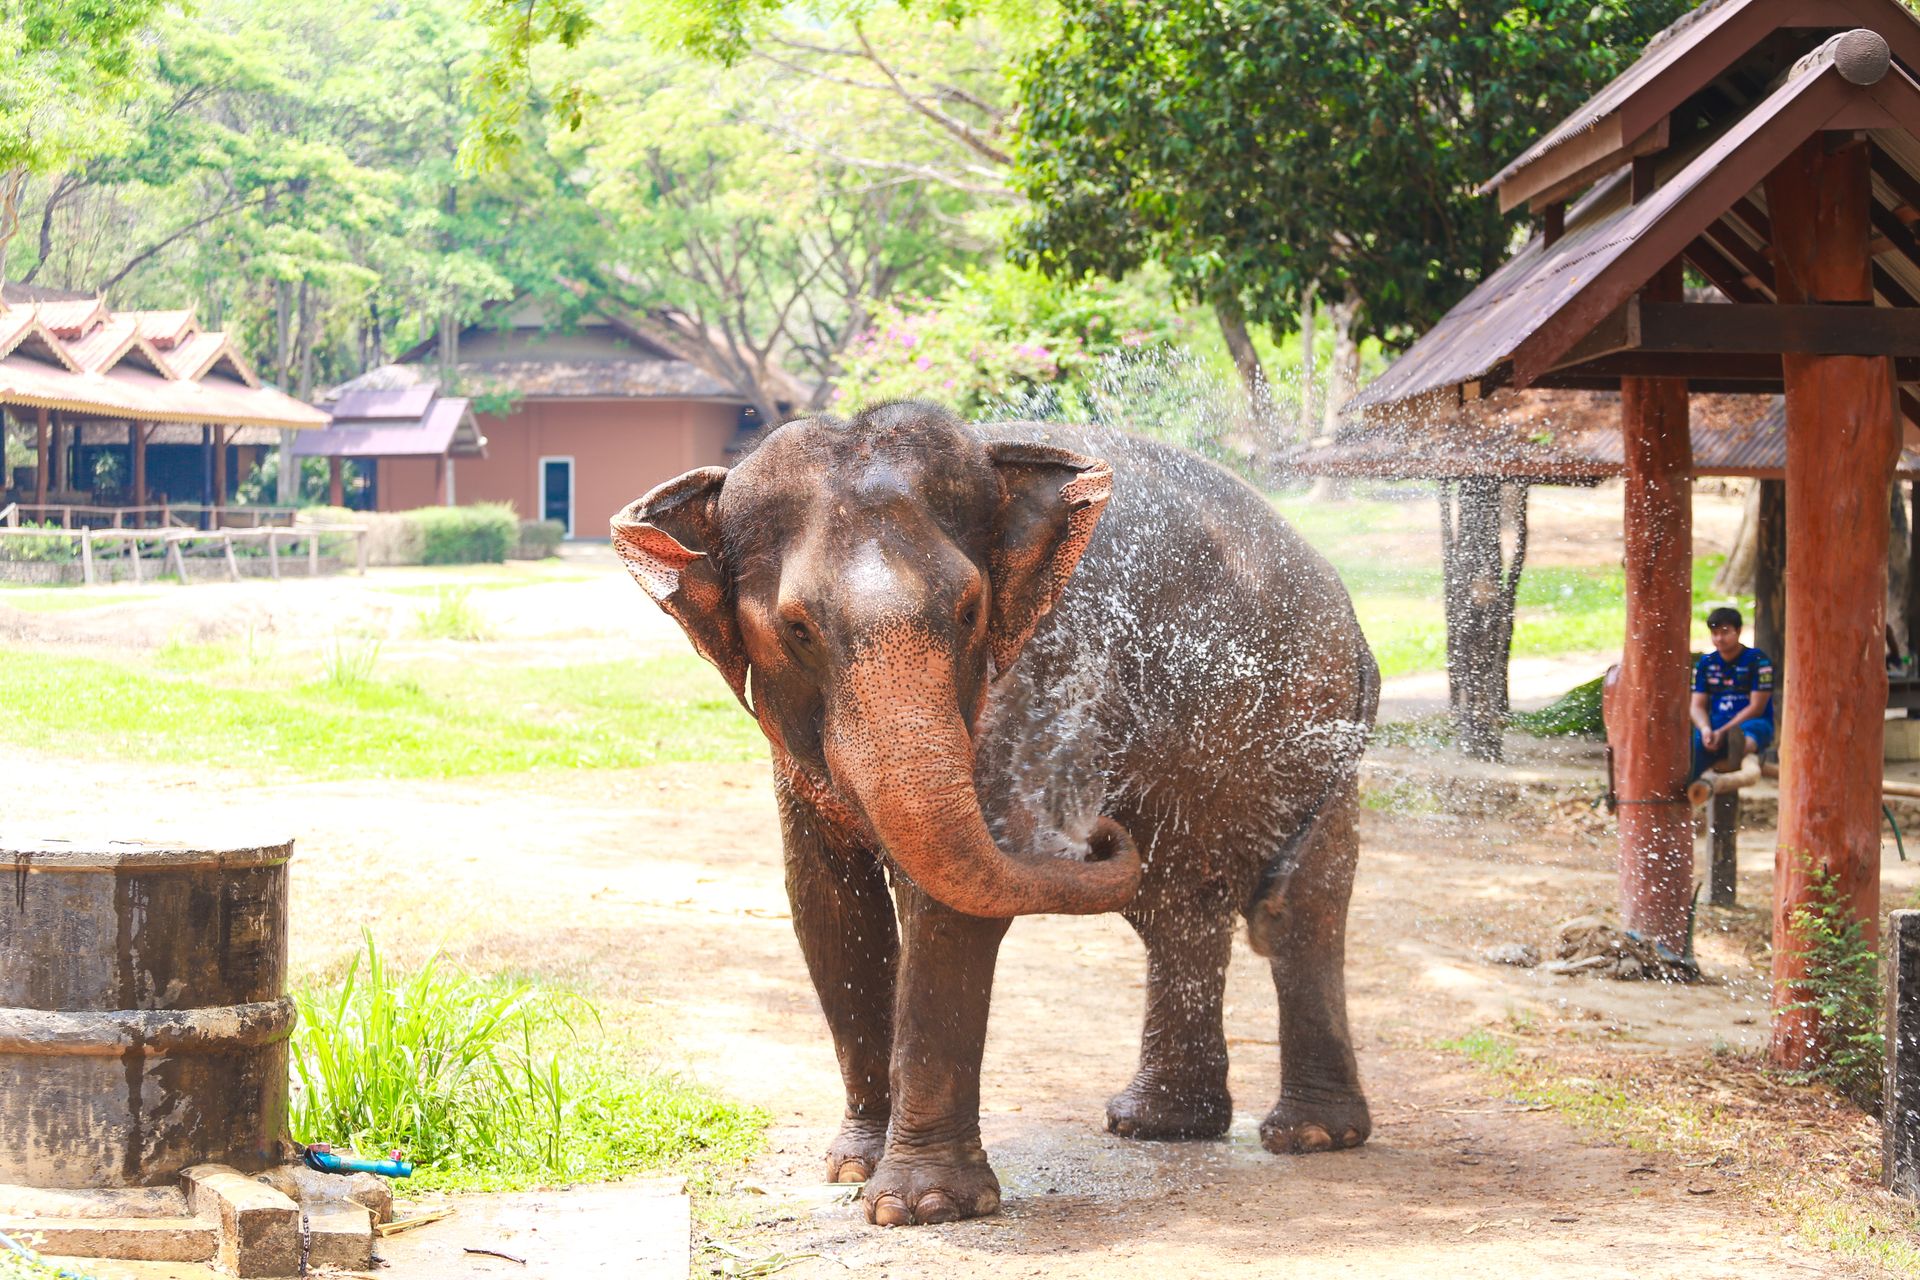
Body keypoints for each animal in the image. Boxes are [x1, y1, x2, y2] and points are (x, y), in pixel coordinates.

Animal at [613, 400, 1378, 1227]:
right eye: (797, 629)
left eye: (970, 609)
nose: (1095, 830)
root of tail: (1347, 610)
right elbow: (828, 907)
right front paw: (853, 1168)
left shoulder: (1028, 682)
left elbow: (947, 909)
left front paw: (919, 1208)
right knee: (1178, 904)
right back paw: (1160, 1124)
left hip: (1301, 718)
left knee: (1295, 905)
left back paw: (1311, 1136)